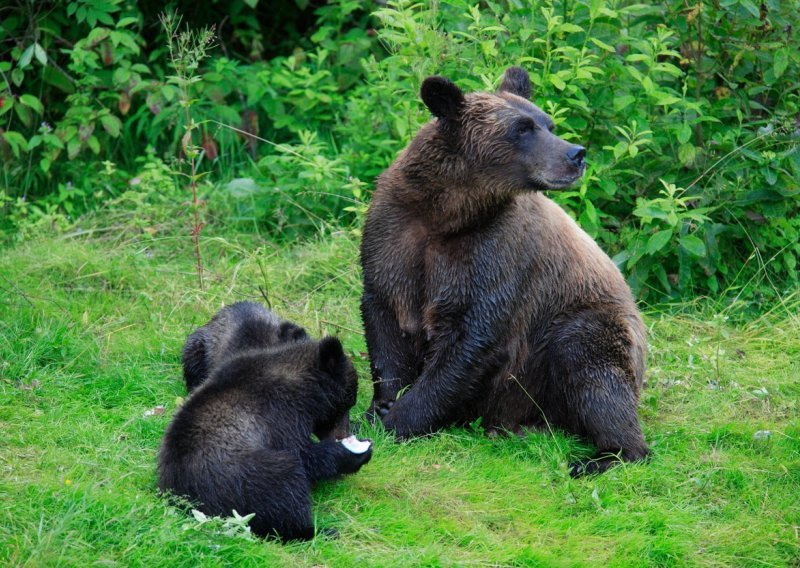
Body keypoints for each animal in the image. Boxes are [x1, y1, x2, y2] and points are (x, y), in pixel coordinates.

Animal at [360, 65, 648, 474]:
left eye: (547, 123)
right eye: (523, 128)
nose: (576, 154)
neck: (449, 210)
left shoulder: (496, 254)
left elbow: (472, 338)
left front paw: (398, 420)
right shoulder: (394, 234)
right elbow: (385, 319)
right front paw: (381, 405)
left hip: (578, 329)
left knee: (592, 366)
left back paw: (602, 456)